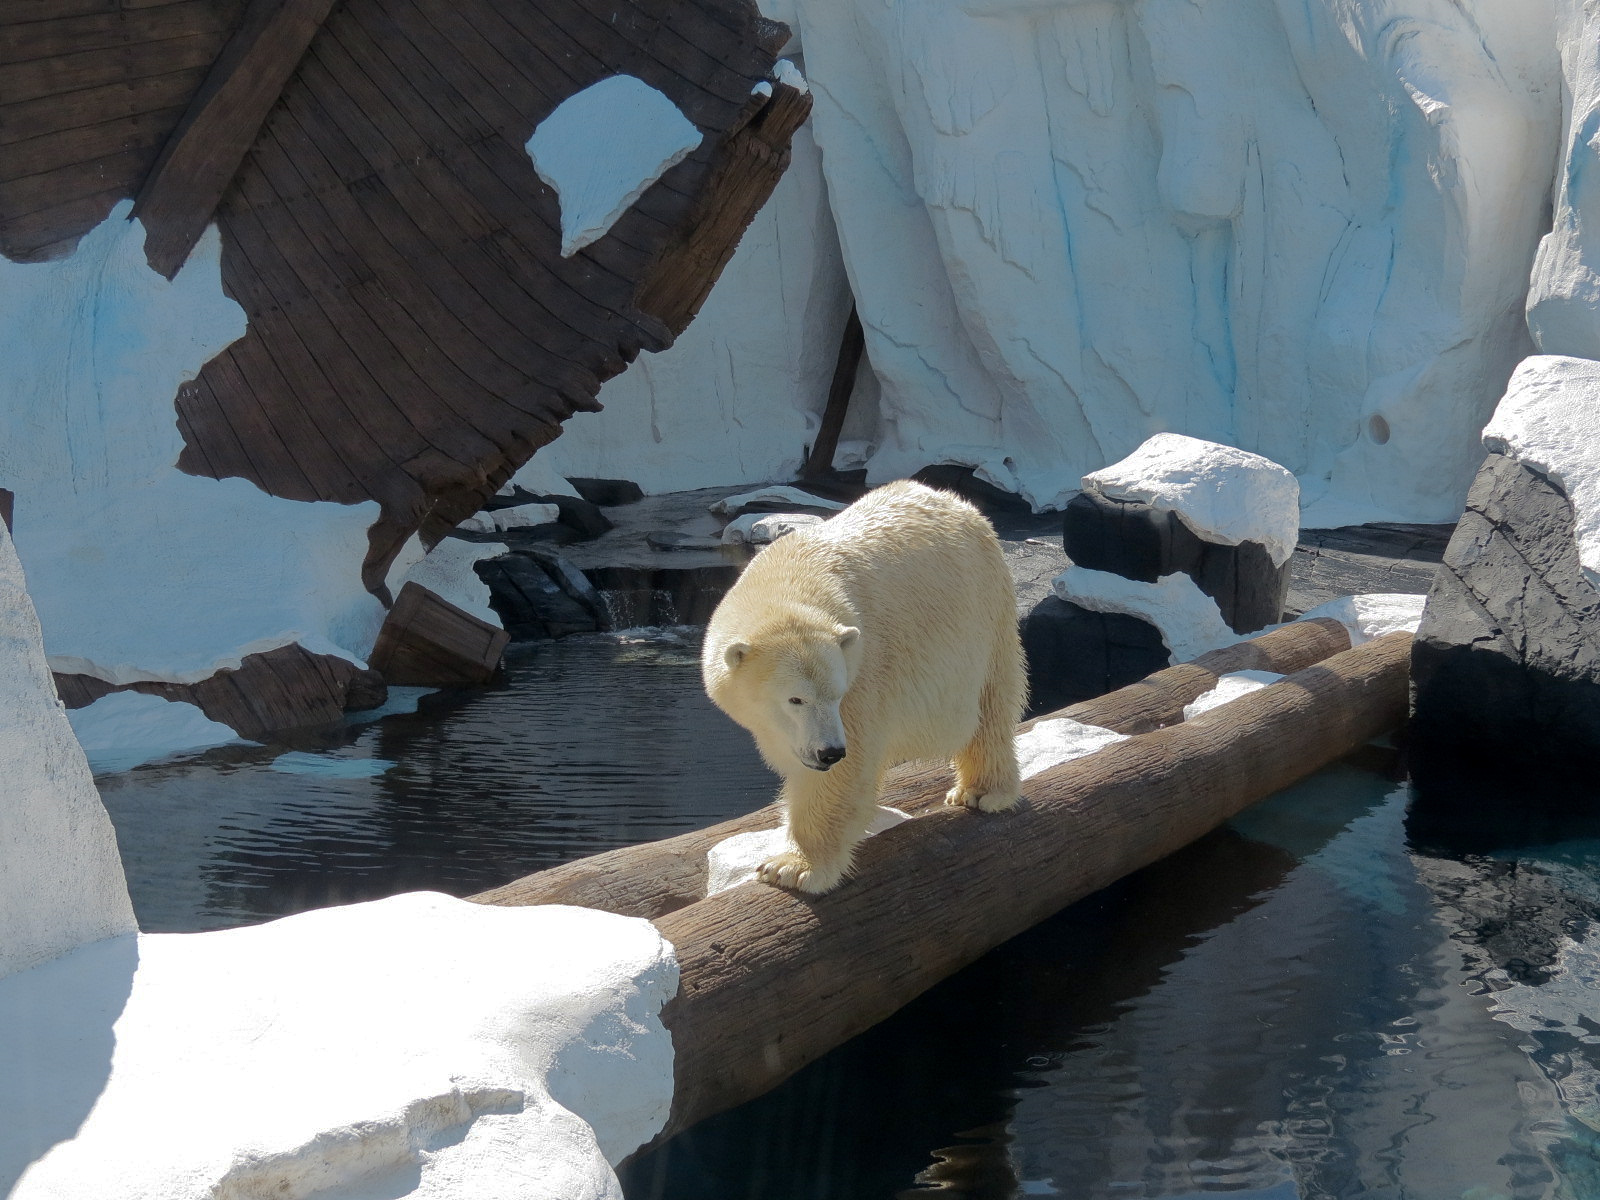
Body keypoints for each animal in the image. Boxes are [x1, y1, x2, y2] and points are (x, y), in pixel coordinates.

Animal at [701, 480, 1026, 894]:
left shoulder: (864, 667)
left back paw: (982, 792)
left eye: (836, 695)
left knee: (992, 706)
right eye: (795, 699)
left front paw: (792, 868)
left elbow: (845, 767)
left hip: (985, 614)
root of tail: (960, 505)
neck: (789, 576)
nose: (828, 752)